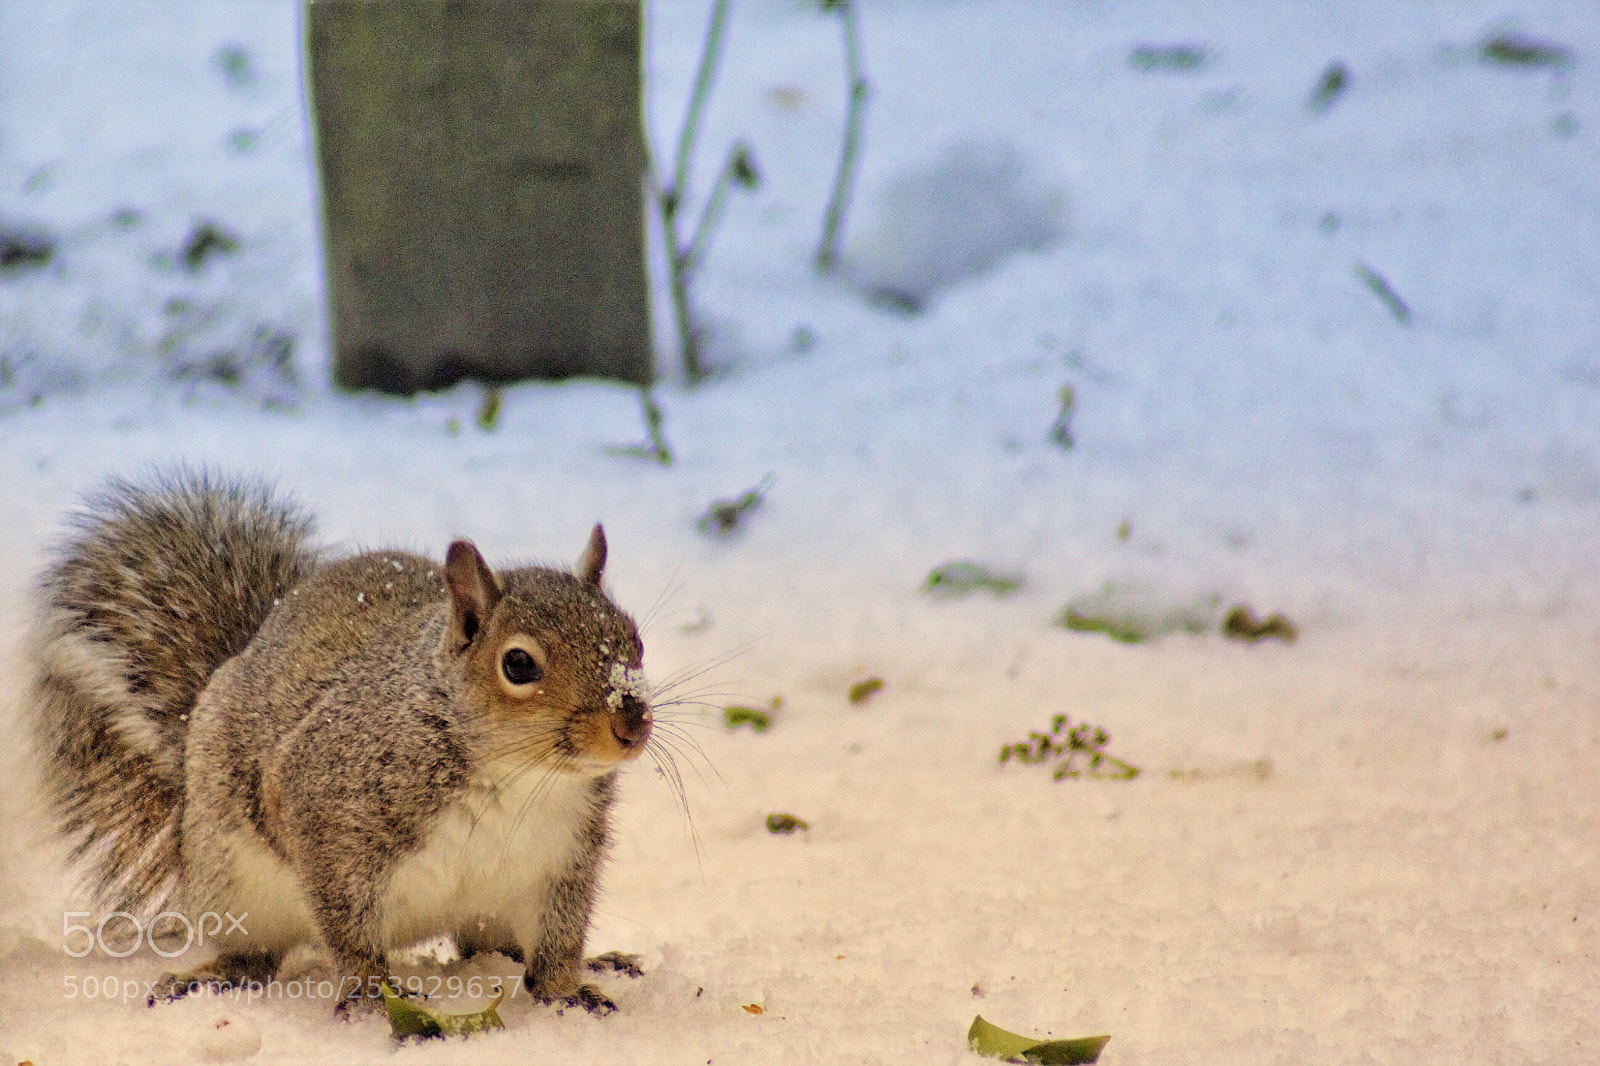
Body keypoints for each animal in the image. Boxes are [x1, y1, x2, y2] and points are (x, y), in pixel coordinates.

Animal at [25, 469, 654, 1014]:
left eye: (634, 639)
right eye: (518, 664)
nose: (632, 725)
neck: (517, 775)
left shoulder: (563, 857)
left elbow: (557, 939)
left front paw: (566, 991)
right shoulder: (328, 812)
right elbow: (346, 926)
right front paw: (373, 994)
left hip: (492, 906)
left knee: (493, 947)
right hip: (235, 886)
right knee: (255, 955)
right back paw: (212, 976)